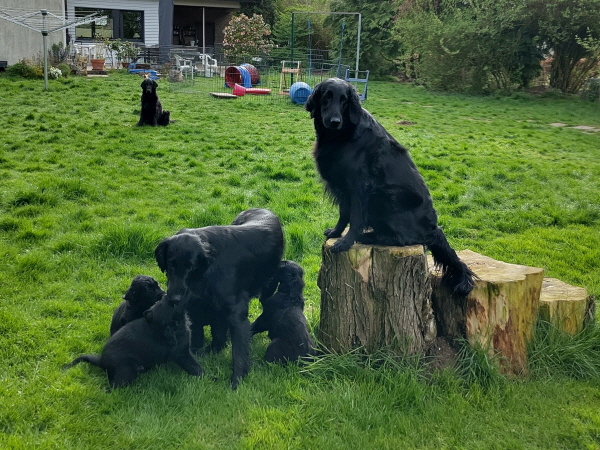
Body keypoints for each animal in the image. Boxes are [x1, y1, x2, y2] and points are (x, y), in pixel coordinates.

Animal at [64, 295, 202, 388]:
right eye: (173, 305)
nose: (168, 294)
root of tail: (101, 361)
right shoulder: (181, 354)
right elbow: (196, 367)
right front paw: (206, 378)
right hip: (126, 371)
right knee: (112, 387)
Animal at [154, 208, 285, 389]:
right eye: (171, 264)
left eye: (191, 266)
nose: (174, 298)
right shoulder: (211, 303)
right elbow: (216, 330)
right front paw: (213, 350)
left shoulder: (236, 313)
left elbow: (238, 351)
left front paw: (237, 380)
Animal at [305, 78, 475, 296]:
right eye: (326, 96)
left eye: (344, 100)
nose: (335, 121)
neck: (341, 135)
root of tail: (433, 228)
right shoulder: (341, 187)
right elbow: (344, 214)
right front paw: (335, 233)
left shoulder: (360, 187)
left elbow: (355, 217)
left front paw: (346, 242)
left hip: (384, 197)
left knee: (403, 239)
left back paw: (367, 236)